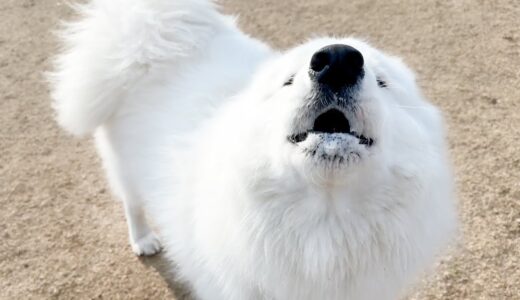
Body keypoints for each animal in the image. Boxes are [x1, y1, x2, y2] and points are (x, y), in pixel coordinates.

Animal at [48, 0, 456, 300]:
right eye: (287, 81)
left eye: (383, 82)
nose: (338, 59)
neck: (324, 222)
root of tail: (144, 31)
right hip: (123, 166)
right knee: (132, 203)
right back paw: (144, 240)